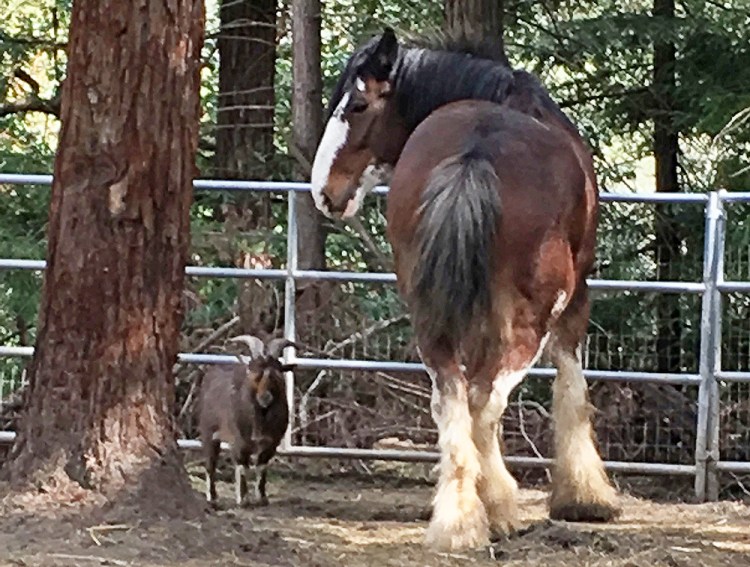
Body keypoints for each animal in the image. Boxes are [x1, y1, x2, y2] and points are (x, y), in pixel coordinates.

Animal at [200, 336, 296, 508]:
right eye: (253, 372)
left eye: (277, 374)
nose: (265, 398)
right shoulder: (238, 442)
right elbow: (242, 466)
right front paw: (243, 499)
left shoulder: (271, 443)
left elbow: (262, 466)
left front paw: (262, 498)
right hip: (208, 431)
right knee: (210, 463)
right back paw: (213, 498)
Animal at [308, 28, 620, 552]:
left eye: (357, 105)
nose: (323, 191)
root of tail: (476, 151)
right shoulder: (576, 298)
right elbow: (572, 387)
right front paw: (584, 495)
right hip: (532, 318)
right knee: (485, 398)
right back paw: (496, 508)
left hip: (428, 313)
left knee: (451, 397)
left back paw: (457, 520)